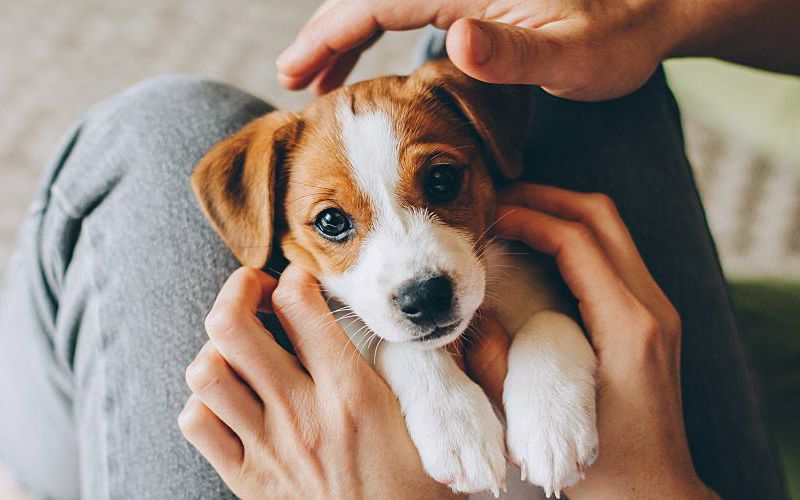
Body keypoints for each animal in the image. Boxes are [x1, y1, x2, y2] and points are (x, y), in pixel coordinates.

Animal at [192, 60, 592, 498]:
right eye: (331, 221)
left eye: (442, 179)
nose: (426, 297)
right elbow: (397, 347)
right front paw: (456, 426)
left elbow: (549, 318)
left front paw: (551, 424)